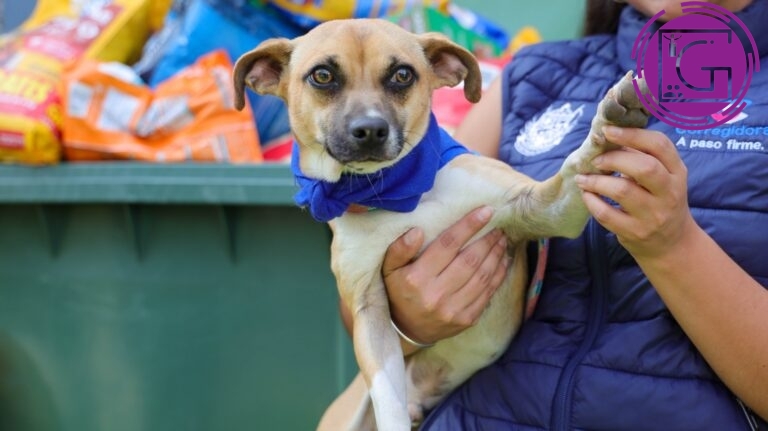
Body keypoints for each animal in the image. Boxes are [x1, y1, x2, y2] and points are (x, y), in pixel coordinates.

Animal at [233, 18, 649, 431]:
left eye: (402, 74)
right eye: (322, 75)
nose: (370, 130)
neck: (398, 191)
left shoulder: (545, 209)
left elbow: (579, 164)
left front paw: (612, 121)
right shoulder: (370, 311)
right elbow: (388, 400)